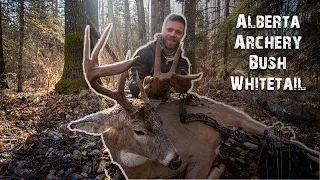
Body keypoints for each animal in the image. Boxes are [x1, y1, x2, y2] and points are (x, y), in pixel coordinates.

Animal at [67, 25, 318, 179]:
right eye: (138, 130)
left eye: (161, 122)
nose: (176, 160)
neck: (145, 171)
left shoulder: (202, 153)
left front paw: (220, 165)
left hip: (243, 119)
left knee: (294, 141)